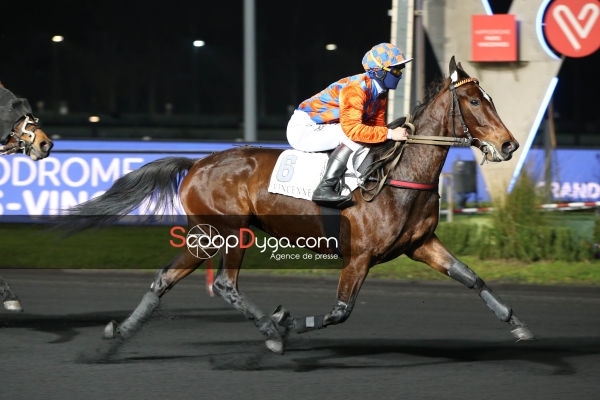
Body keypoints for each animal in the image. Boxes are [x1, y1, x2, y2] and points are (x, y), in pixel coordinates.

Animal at [67, 57, 536, 354]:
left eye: (491, 99)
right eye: (474, 101)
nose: (508, 145)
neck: (400, 174)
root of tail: (197, 162)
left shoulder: (421, 245)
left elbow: (471, 277)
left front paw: (518, 324)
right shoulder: (359, 255)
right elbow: (340, 311)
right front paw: (287, 322)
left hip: (207, 235)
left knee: (167, 278)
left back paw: (119, 331)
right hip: (227, 232)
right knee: (224, 284)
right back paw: (271, 330)